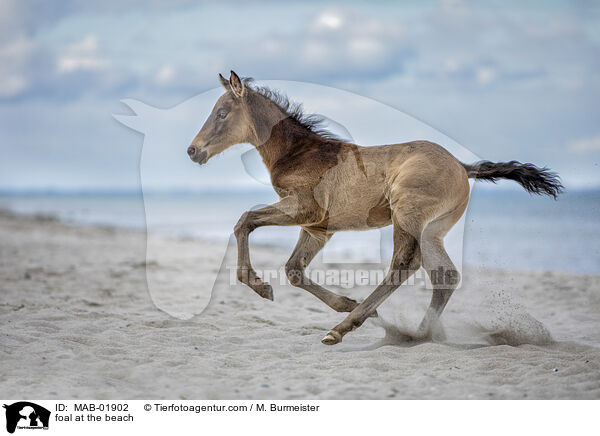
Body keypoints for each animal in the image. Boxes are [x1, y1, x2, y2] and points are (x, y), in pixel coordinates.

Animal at [188, 70, 564, 344]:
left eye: (221, 113)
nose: (193, 151)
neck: (300, 153)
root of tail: (461, 165)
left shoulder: (305, 210)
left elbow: (245, 220)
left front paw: (258, 284)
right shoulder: (318, 228)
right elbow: (293, 269)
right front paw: (343, 302)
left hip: (407, 215)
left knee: (403, 264)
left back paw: (345, 328)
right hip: (433, 231)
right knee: (445, 275)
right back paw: (417, 334)